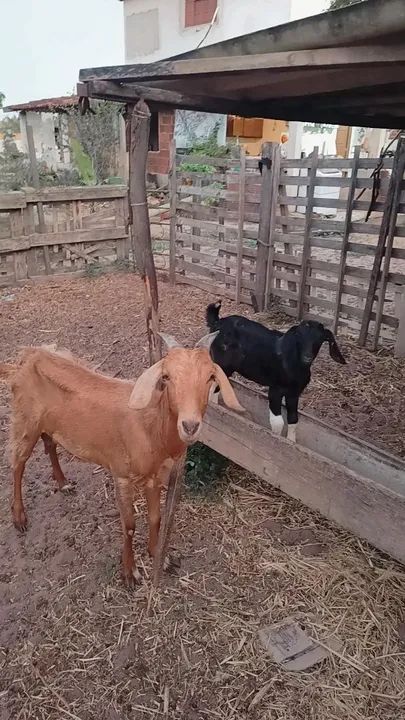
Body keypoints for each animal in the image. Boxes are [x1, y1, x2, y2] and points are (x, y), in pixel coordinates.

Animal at [0, 333, 244, 587]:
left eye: (210, 377)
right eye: (166, 377)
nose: (190, 426)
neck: (150, 426)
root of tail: (26, 357)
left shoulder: (155, 476)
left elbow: (155, 518)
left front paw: (158, 556)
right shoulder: (122, 476)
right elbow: (129, 526)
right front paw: (130, 573)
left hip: (48, 424)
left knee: (50, 444)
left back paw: (63, 483)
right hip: (25, 421)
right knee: (18, 463)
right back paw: (19, 517)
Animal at [206, 301, 346, 442]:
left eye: (320, 339)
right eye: (299, 337)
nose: (307, 357)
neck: (295, 365)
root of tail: (218, 321)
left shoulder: (294, 393)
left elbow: (293, 419)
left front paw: (291, 441)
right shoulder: (275, 389)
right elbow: (278, 422)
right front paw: (275, 440)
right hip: (222, 364)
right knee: (212, 386)